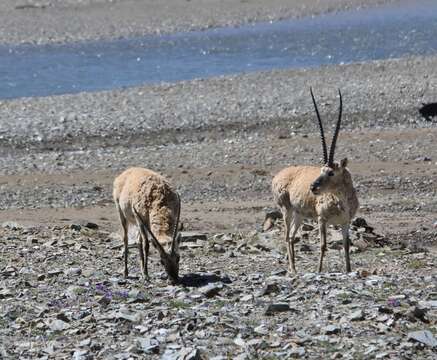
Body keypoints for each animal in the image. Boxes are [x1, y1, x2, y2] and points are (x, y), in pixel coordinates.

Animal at [272, 89, 358, 272]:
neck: (341, 200)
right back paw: (293, 269)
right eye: (321, 170)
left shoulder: (345, 222)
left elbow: (346, 245)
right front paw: (318, 270)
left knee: (292, 236)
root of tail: (278, 175)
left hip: (299, 215)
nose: (313, 187)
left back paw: (294, 267)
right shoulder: (321, 220)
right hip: (286, 211)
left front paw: (348, 270)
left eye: (331, 172)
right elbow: (323, 245)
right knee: (286, 237)